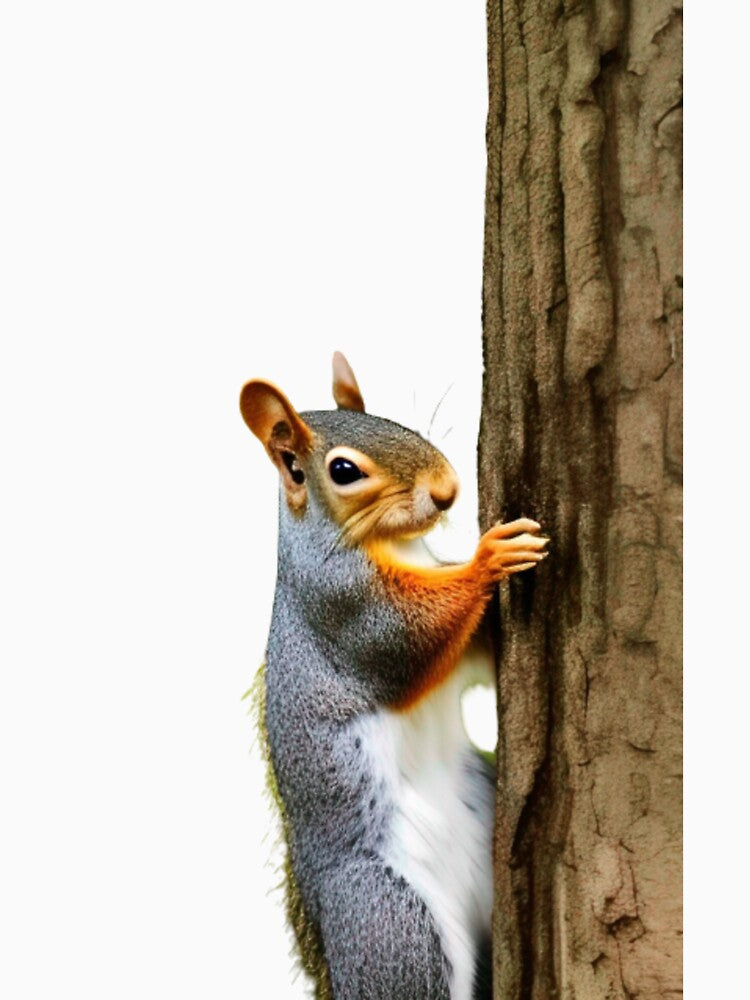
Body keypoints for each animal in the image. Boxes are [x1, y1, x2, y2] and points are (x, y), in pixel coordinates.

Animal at [240, 352, 548, 1000]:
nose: (449, 490)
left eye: (395, 422)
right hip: (392, 926)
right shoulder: (342, 608)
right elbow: (407, 637)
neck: (394, 546)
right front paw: (488, 558)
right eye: (343, 470)